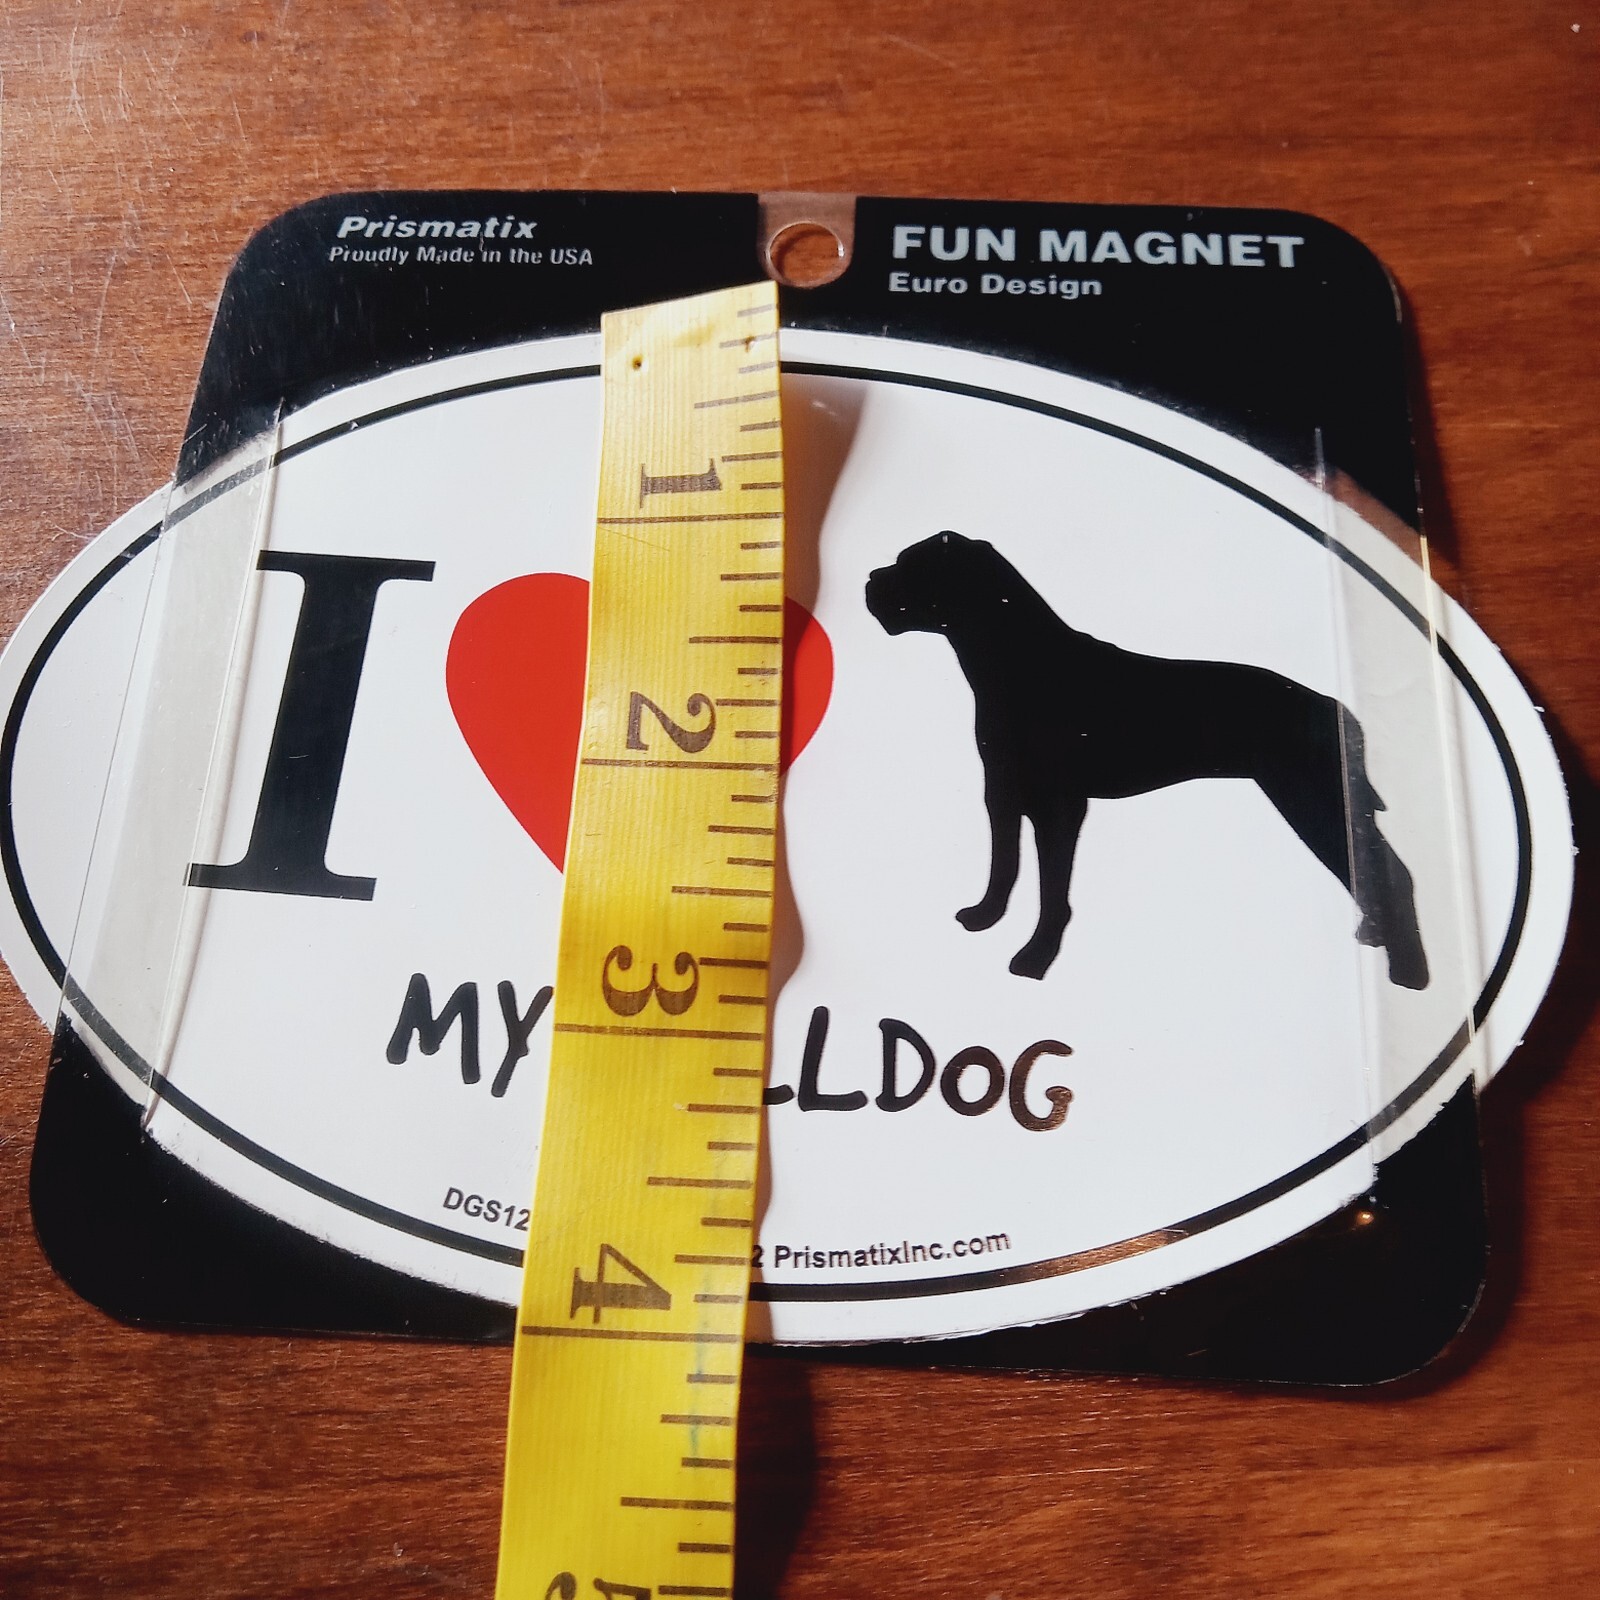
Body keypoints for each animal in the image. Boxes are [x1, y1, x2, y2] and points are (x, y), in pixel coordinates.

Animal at [864, 531, 1430, 988]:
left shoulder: (1059, 808)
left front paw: (1035, 959)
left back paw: (1409, 974)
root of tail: (1339, 709)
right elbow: (1004, 866)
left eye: (910, 565)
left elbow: (1051, 892)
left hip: (1314, 802)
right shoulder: (1002, 793)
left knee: (1393, 872)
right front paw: (985, 917)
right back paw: (1375, 935)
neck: (1019, 661)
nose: (870, 578)